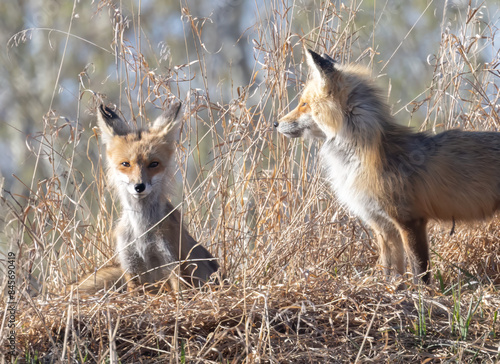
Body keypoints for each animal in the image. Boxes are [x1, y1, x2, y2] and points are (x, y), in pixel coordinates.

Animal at [74, 101, 221, 292]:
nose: (139, 186)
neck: (142, 232)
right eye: (125, 164)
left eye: (153, 164)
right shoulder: (131, 267)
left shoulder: (172, 264)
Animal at [274, 48, 500, 282]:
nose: (275, 123)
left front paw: (422, 292)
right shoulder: (382, 225)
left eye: (303, 104)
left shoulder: (410, 221)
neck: (359, 157)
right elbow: (391, 269)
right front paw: (392, 288)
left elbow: (419, 272)